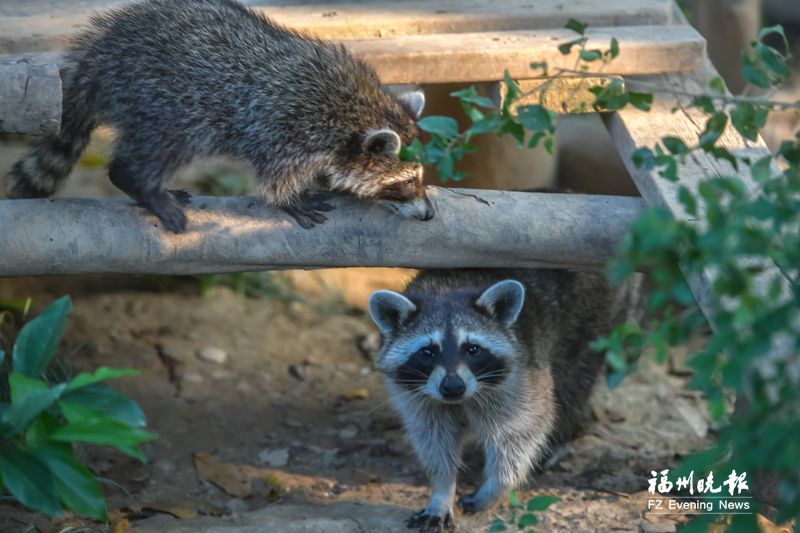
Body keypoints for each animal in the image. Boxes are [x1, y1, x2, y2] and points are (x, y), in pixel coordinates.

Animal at [4, 0, 432, 233]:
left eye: (420, 178)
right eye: (406, 182)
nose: (430, 214)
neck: (361, 108)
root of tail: (100, 52)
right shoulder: (291, 123)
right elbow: (275, 173)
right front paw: (289, 198)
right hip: (160, 94)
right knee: (166, 143)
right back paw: (138, 182)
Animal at [368, 268, 644, 528]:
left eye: (472, 349)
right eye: (427, 352)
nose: (453, 387)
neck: (448, 284)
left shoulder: (522, 375)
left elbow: (520, 432)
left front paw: (496, 487)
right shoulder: (418, 394)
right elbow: (433, 437)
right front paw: (442, 488)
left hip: (596, 310)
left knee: (577, 374)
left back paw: (561, 435)